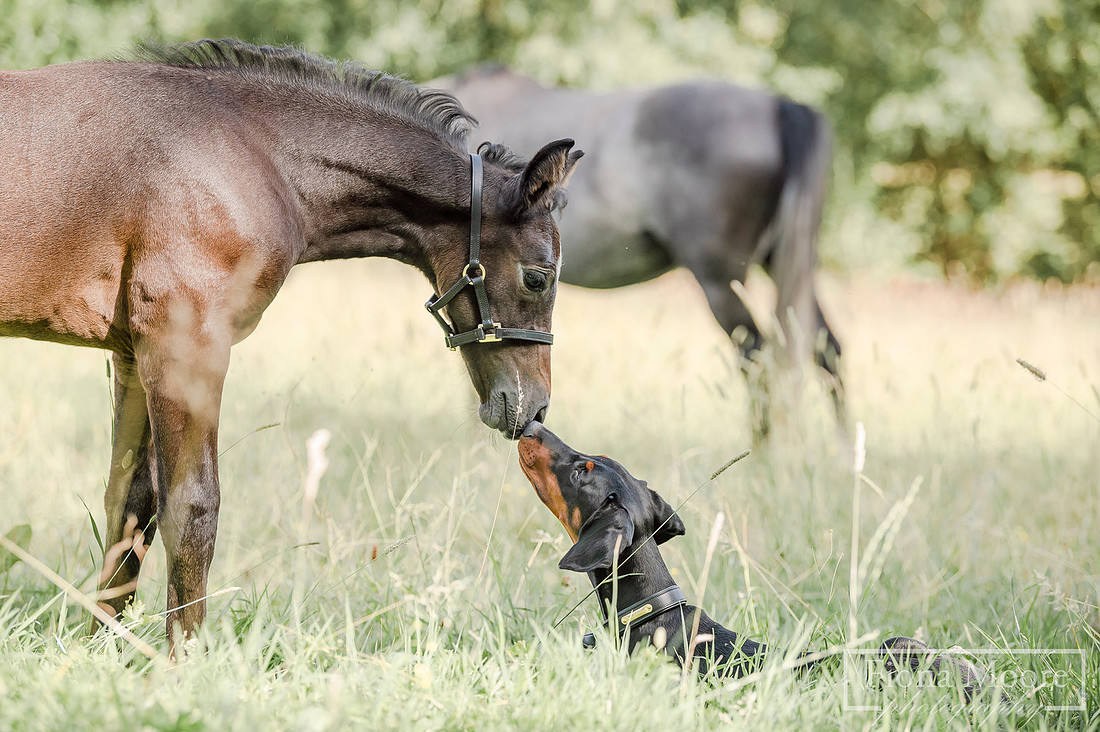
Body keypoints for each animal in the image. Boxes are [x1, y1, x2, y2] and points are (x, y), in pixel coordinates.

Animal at [0, 40, 582, 649]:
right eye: (538, 277)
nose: (533, 407)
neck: (257, 154)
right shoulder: (186, 342)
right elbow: (192, 506)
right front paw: (185, 657)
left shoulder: (134, 353)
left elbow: (130, 507)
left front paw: (101, 653)